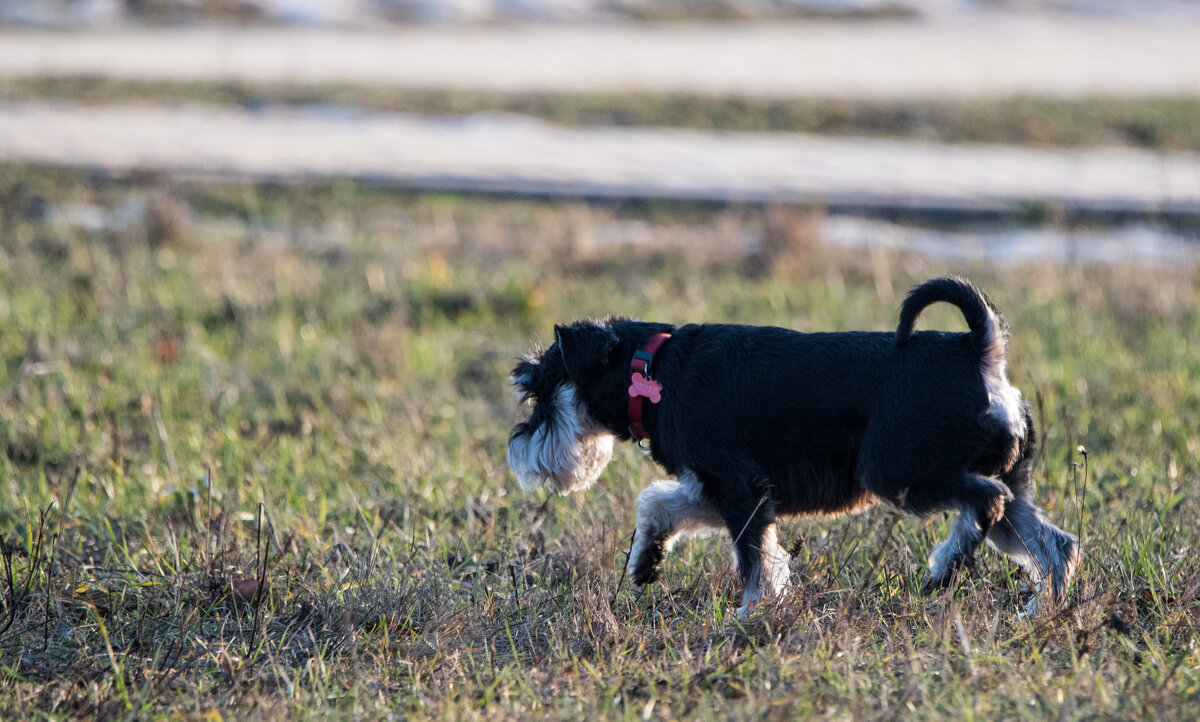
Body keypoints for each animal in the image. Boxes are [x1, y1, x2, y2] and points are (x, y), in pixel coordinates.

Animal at [506, 275, 1080, 611]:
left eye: (539, 391)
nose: (518, 455)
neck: (654, 371)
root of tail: (982, 352)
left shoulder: (740, 487)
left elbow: (755, 559)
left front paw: (750, 613)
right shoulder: (717, 486)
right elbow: (658, 503)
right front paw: (647, 560)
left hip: (900, 472)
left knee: (987, 501)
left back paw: (945, 570)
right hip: (998, 476)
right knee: (1054, 543)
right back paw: (1040, 611)